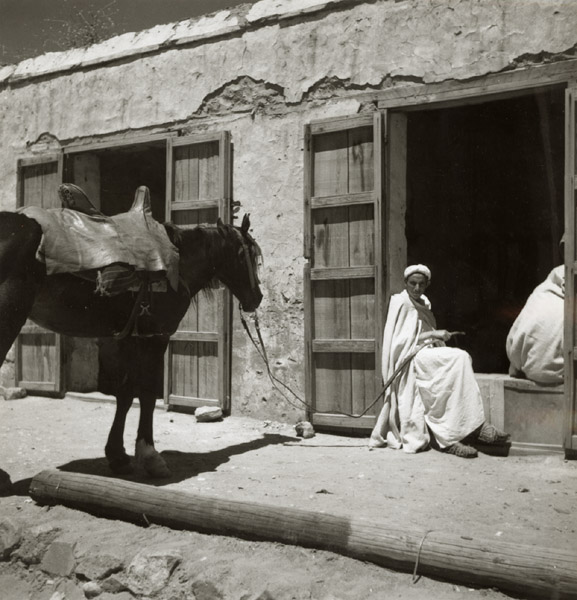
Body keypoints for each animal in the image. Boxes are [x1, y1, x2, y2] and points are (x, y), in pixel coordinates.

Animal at [0, 209, 262, 480]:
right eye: (249, 255)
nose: (257, 298)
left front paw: (117, 456)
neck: (176, 264)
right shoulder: (155, 337)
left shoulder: (129, 338)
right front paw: (150, 455)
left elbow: (125, 394)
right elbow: (146, 393)